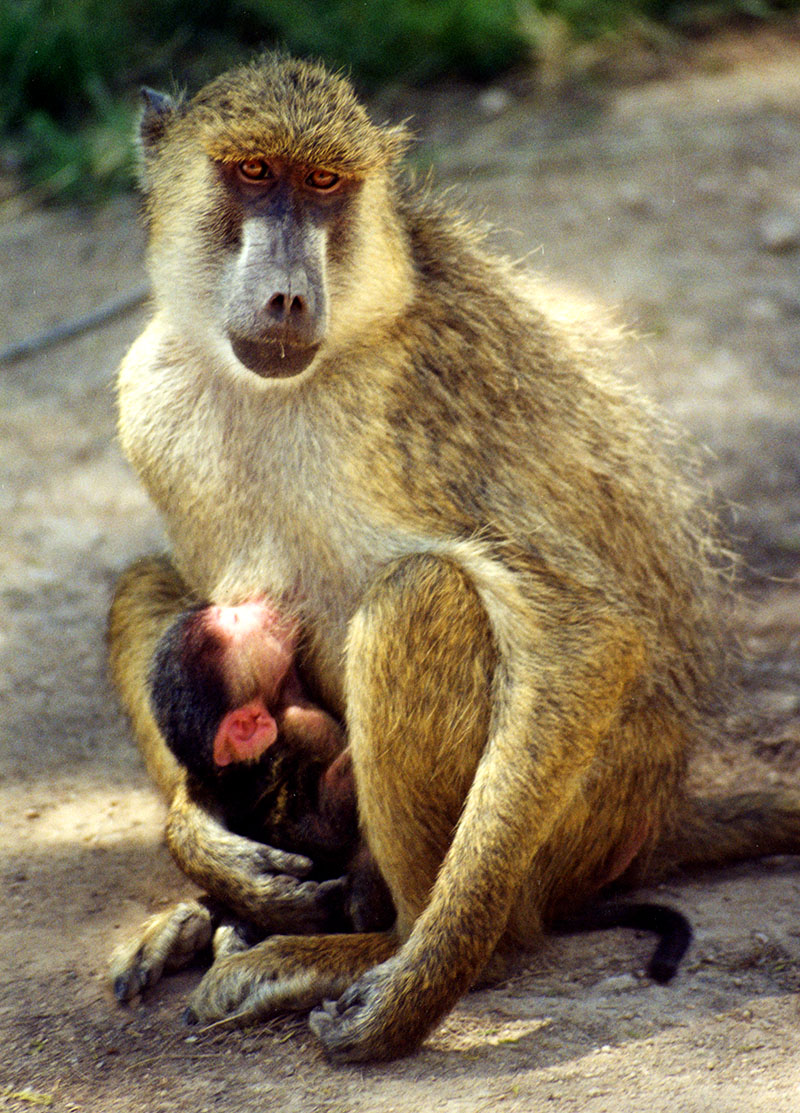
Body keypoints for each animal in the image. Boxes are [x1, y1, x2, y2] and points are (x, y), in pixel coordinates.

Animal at [106, 53, 800, 1060]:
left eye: (324, 184)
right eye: (253, 173)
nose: (287, 297)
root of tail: (659, 812)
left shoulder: (427, 406)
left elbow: (585, 633)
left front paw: (423, 980)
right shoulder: (149, 396)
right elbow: (190, 599)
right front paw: (205, 845)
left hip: (572, 833)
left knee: (418, 596)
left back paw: (383, 946)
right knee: (143, 582)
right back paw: (222, 913)